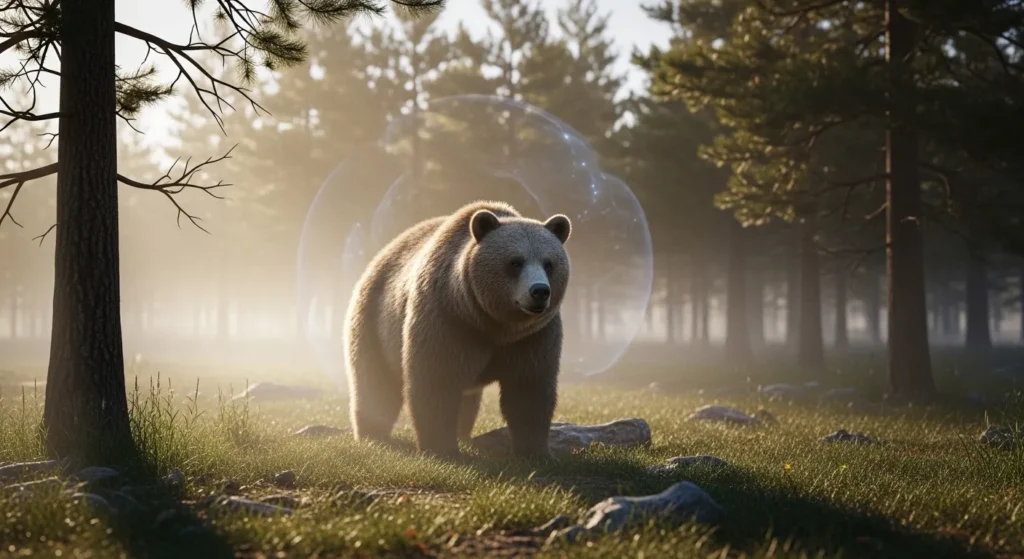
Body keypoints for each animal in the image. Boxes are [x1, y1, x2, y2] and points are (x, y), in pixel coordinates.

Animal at [343, 200, 572, 459]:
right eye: (515, 262)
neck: (492, 325)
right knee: (374, 384)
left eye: (549, 263)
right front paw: (440, 448)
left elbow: (529, 390)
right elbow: (436, 381)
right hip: (374, 321)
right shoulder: (446, 320)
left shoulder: (533, 337)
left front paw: (536, 452)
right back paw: (373, 435)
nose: (540, 291)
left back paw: (462, 435)